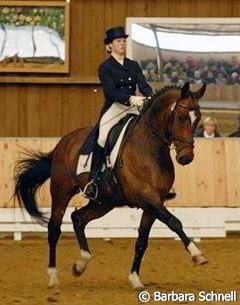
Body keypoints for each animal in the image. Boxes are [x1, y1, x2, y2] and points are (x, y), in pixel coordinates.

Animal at [13, 81, 208, 288]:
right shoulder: (147, 199)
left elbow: (142, 240)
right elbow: (174, 222)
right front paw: (197, 254)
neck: (149, 147)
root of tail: (64, 142)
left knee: (78, 218)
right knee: (54, 229)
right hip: (61, 191)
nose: (186, 158)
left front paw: (135, 278)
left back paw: (81, 263)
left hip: (105, 202)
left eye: (198, 118)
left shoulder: (153, 203)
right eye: (181, 117)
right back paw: (53, 276)